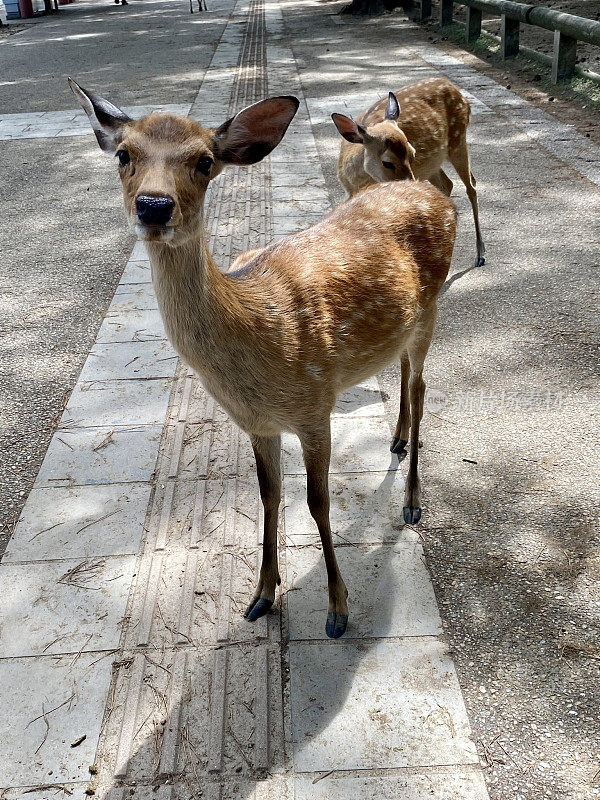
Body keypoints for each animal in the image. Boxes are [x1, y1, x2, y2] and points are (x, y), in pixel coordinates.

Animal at [69, 76, 454, 636]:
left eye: (205, 160)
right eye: (124, 154)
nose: (154, 206)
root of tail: (431, 191)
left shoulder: (316, 405)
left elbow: (317, 501)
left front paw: (337, 609)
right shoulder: (255, 422)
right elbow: (268, 494)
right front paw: (261, 595)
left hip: (431, 309)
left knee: (423, 387)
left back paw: (411, 502)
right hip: (404, 326)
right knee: (403, 370)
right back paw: (397, 439)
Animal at [330, 78, 486, 272]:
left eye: (412, 154)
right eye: (387, 162)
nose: (410, 184)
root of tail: (455, 89)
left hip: (458, 140)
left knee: (471, 186)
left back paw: (479, 254)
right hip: (433, 163)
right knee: (447, 184)